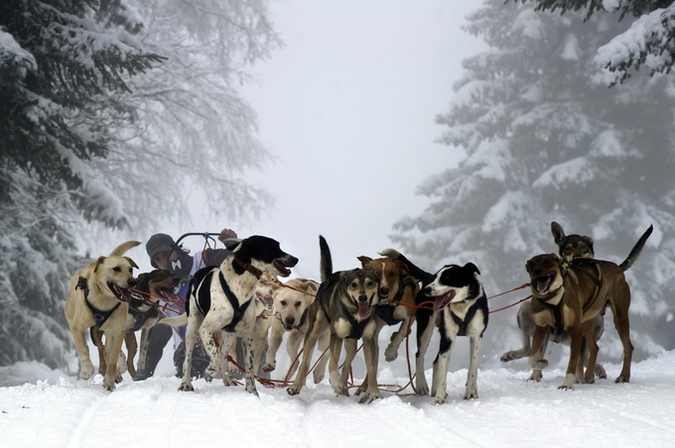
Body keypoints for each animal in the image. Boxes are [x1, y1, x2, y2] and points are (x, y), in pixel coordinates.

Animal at [64, 240, 141, 390]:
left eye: (131, 270)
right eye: (116, 269)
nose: (132, 282)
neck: (104, 299)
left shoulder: (116, 330)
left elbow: (111, 361)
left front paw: (109, 382)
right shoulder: (76, 327)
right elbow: (83, 350)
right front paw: (86, 371)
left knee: (109, 351)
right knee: (102, 348)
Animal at [178, 236, 298, 394]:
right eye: (274, 246)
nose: (296, 259)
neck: (242, 285)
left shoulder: (248, 336)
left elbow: (249, 367)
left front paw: (252, 392)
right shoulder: (205, 329)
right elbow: (214, 357)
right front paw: (209, 372)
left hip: (229, 335)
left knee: (223, 353)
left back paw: (227, 379)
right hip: (193, 328)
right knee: (189, 358)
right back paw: (186, 383)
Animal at [380, 248, 486, 406]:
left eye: (447, 278)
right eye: (437, 277)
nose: (428, 290)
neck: (462, 306)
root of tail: (427, 277)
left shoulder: (476, 336)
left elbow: (473, 366)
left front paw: (471, 392)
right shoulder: (448, 338)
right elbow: (442, 370)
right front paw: (439, 398)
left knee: (436, 361)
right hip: (426, 328)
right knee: (420, 355)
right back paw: (422, 384)